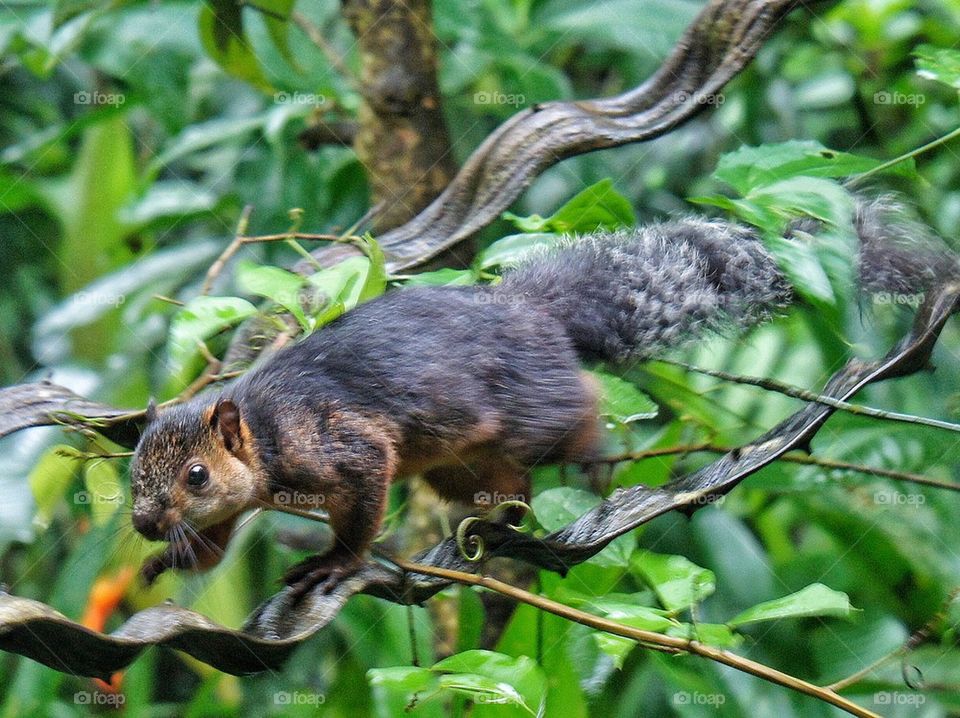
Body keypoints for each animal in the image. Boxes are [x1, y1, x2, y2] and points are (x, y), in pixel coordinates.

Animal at [129, 199, 957, 595]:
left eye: (196, 474)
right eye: (135, 473)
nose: (141, 524)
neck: (261, 430)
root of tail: (527, 310)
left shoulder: (334, 441)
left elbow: (361, 497)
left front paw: (333, 564)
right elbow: (213, 547)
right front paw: (164, 566)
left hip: (533, 406)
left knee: (579, 412)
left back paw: (595, 464)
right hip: (456, 463)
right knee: (504, 482)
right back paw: (503, 518)